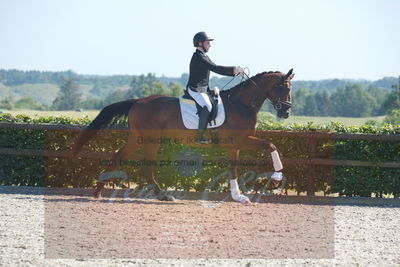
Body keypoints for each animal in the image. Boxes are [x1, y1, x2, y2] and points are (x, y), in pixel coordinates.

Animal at [72, 68, 294, 203]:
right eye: (282, 87)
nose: (286, 113)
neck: (241, 104)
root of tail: (138, 101)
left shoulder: (238, 144)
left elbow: (244, 161)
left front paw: (241, 194)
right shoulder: (237, 142)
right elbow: (265, 149)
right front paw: (269, 182)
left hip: (137, 138)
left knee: (119, 156)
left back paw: (98, 191)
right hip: (151, 140)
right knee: (147, 165)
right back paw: (161, 195)